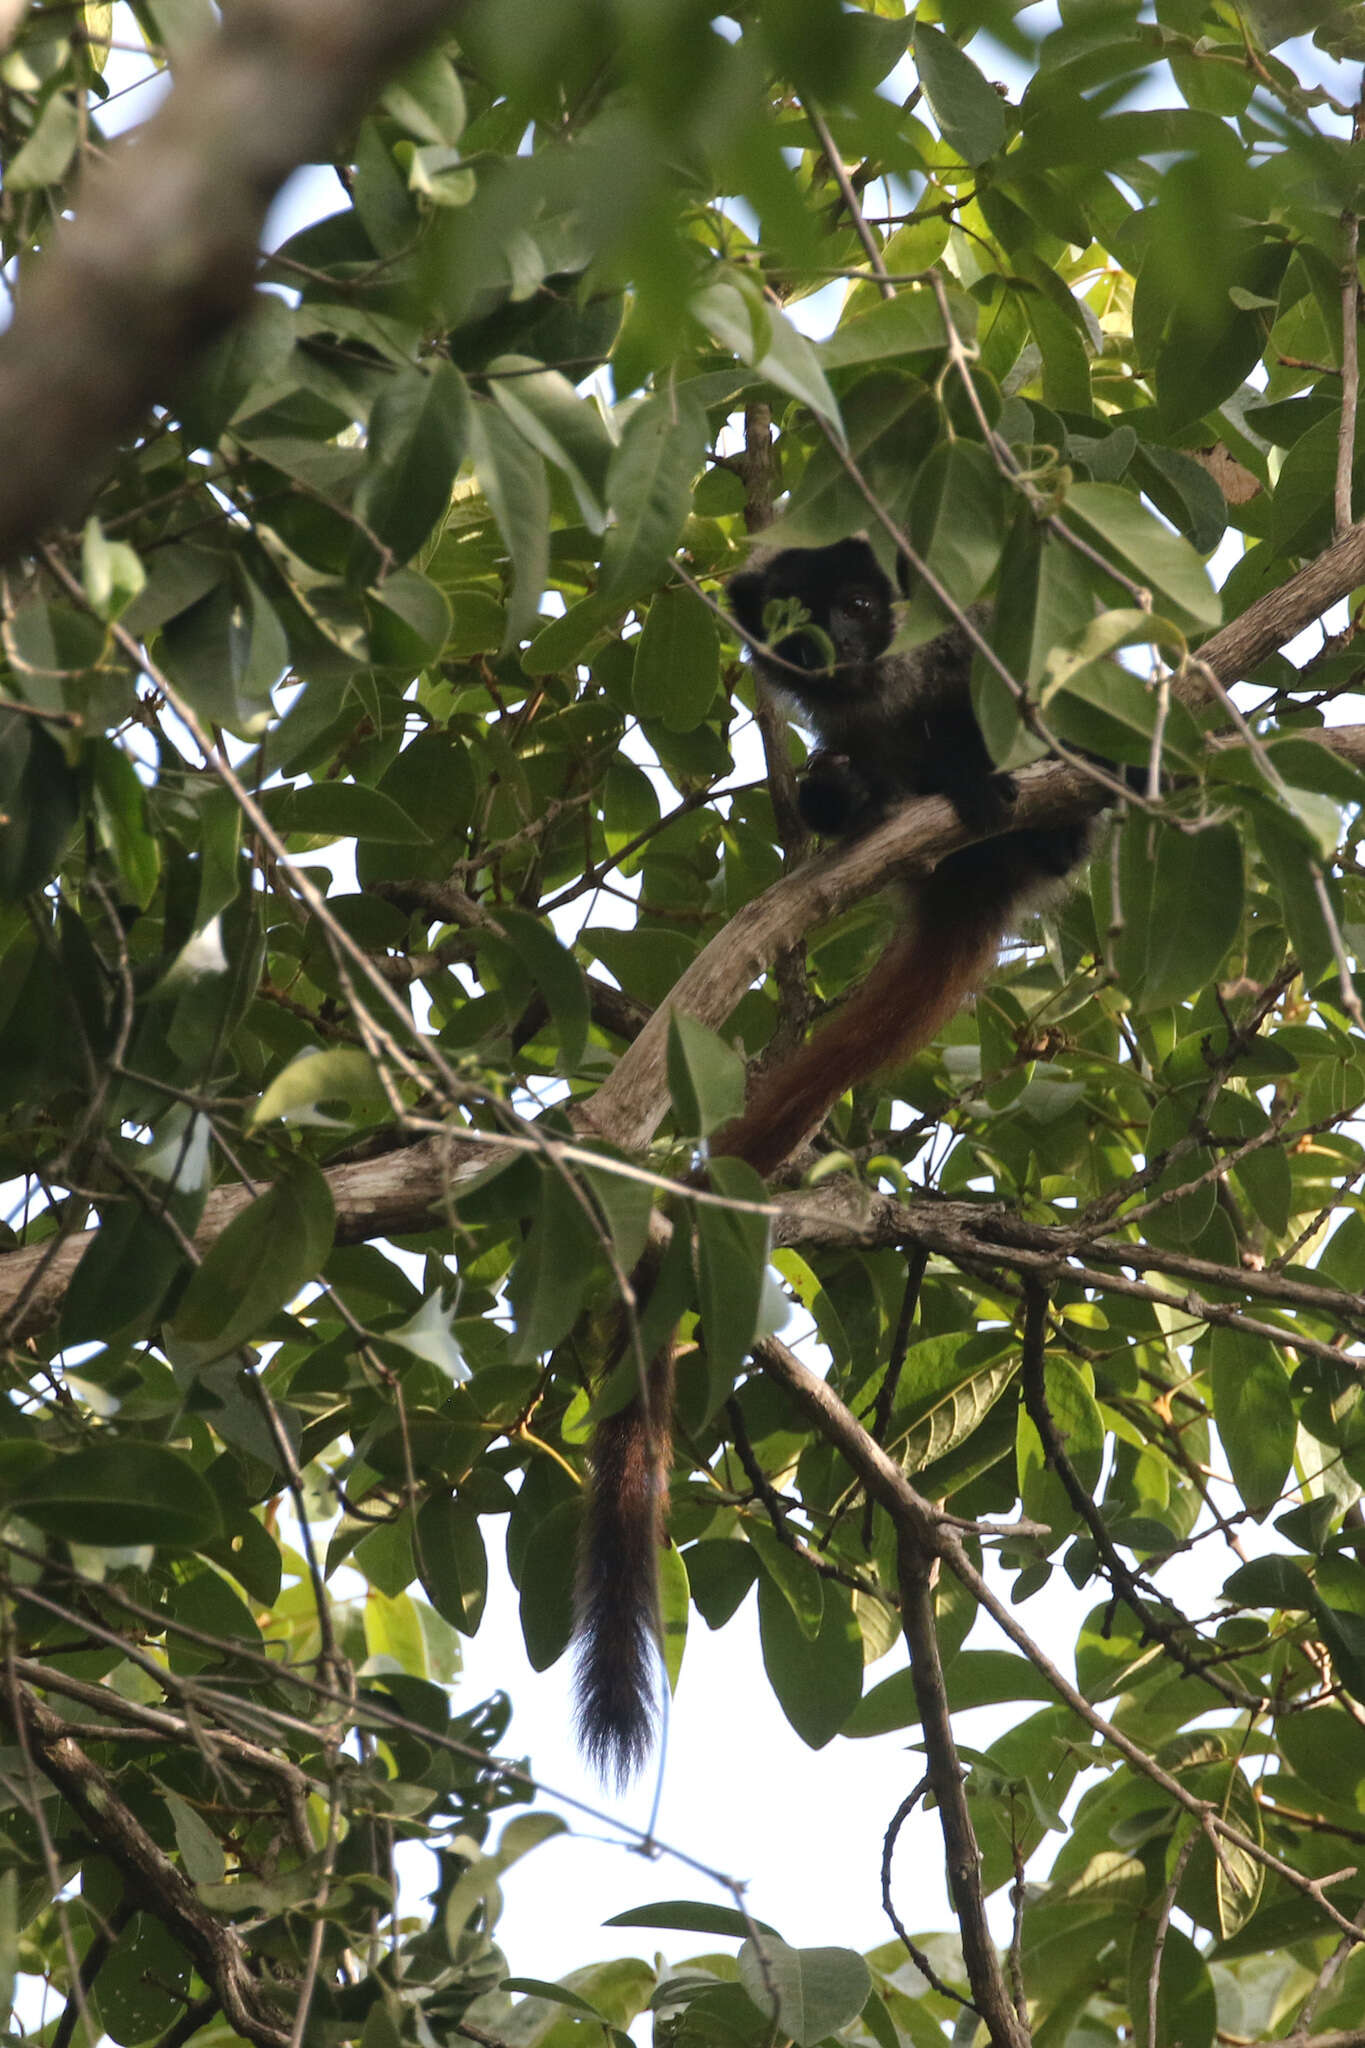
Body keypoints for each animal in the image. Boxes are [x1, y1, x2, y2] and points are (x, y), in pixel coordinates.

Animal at [573, 536, 1096, 1785]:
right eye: (798, 618)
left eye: (859, 604)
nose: (837, 640)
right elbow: (827, 771)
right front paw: (846, 784)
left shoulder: (952, 647)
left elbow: (995, 686)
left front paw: (980, 760)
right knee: (844, 789)